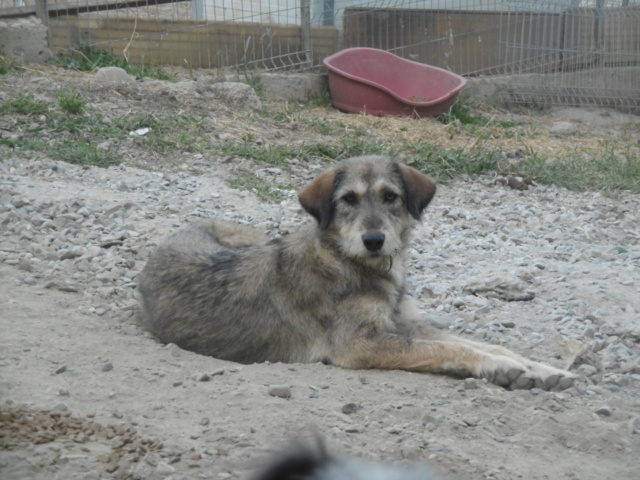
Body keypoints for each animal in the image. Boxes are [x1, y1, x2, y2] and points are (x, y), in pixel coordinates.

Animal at [138, 156, 576, 392]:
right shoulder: (359, 344)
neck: (352, 263)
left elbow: (478, 342)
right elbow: (447, 349)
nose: (374, 239)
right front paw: (499, 368)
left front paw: (539, 369)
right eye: (347, 200)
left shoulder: (405, 322)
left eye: (391, 197)